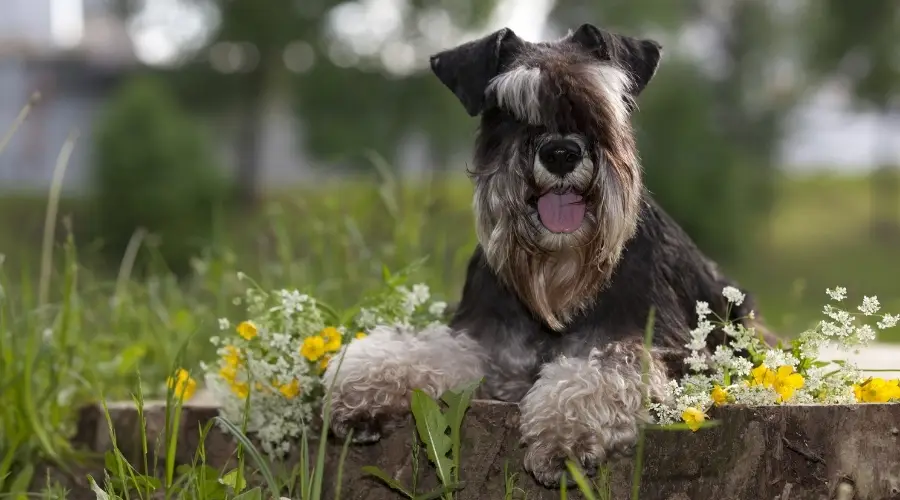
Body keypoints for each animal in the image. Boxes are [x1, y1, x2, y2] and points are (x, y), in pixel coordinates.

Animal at [322, 24, 772, 488]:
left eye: (598, 103)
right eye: (510, 109)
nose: (560, 153)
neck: (559, 273)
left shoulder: (671, 348)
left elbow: (610, 365)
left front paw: (565, 431)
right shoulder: (485, 340)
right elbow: (430, 345)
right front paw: (363, 387)